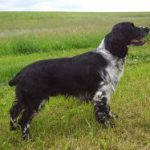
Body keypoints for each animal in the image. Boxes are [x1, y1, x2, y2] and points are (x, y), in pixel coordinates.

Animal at [8, 21, 149, 139]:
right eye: (132, 27)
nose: (147, 28)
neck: (109, 54)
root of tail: (21, 73)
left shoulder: (105, 93)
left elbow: (108, 109)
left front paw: (113, 117)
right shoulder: (100, 94)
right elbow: (103, 112)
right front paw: (110, 127)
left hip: (25, 99)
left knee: (13, 112)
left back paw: (13, 127)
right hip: (34, 100)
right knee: (24, 121)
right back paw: (27, 138)